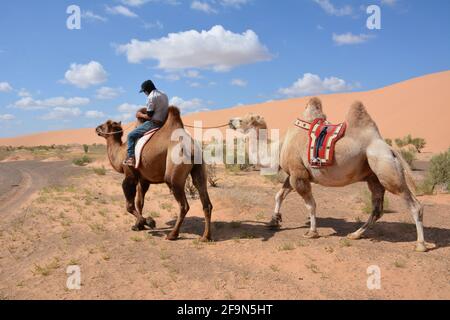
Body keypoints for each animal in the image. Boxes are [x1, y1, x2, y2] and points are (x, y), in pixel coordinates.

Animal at [95, 106, 214, 241]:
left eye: (105, 123)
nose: (96, 128)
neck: (120, 152)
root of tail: (192, 148)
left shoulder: (130, 174)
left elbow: (129, 205)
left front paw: (148, 222)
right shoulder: (143, 179)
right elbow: (139, 202)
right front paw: (138, 225)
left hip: (173, 175)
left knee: (183, 205)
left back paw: (172, 234)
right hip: (199, 168)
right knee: (205, 199)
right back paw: (206, 237)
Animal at [230, 96, 428, 251]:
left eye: (243, 120)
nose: (231, 121)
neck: (279, 147)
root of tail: (390, 149)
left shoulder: (298, 174)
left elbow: (310, 204)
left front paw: (311, 232)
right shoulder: (294, 173)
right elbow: (279, 195)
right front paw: (274, 221)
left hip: (385, 167)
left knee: (414, 205)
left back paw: (420, 244)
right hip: (374, 177)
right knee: (377, 209)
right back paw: (355, 234)